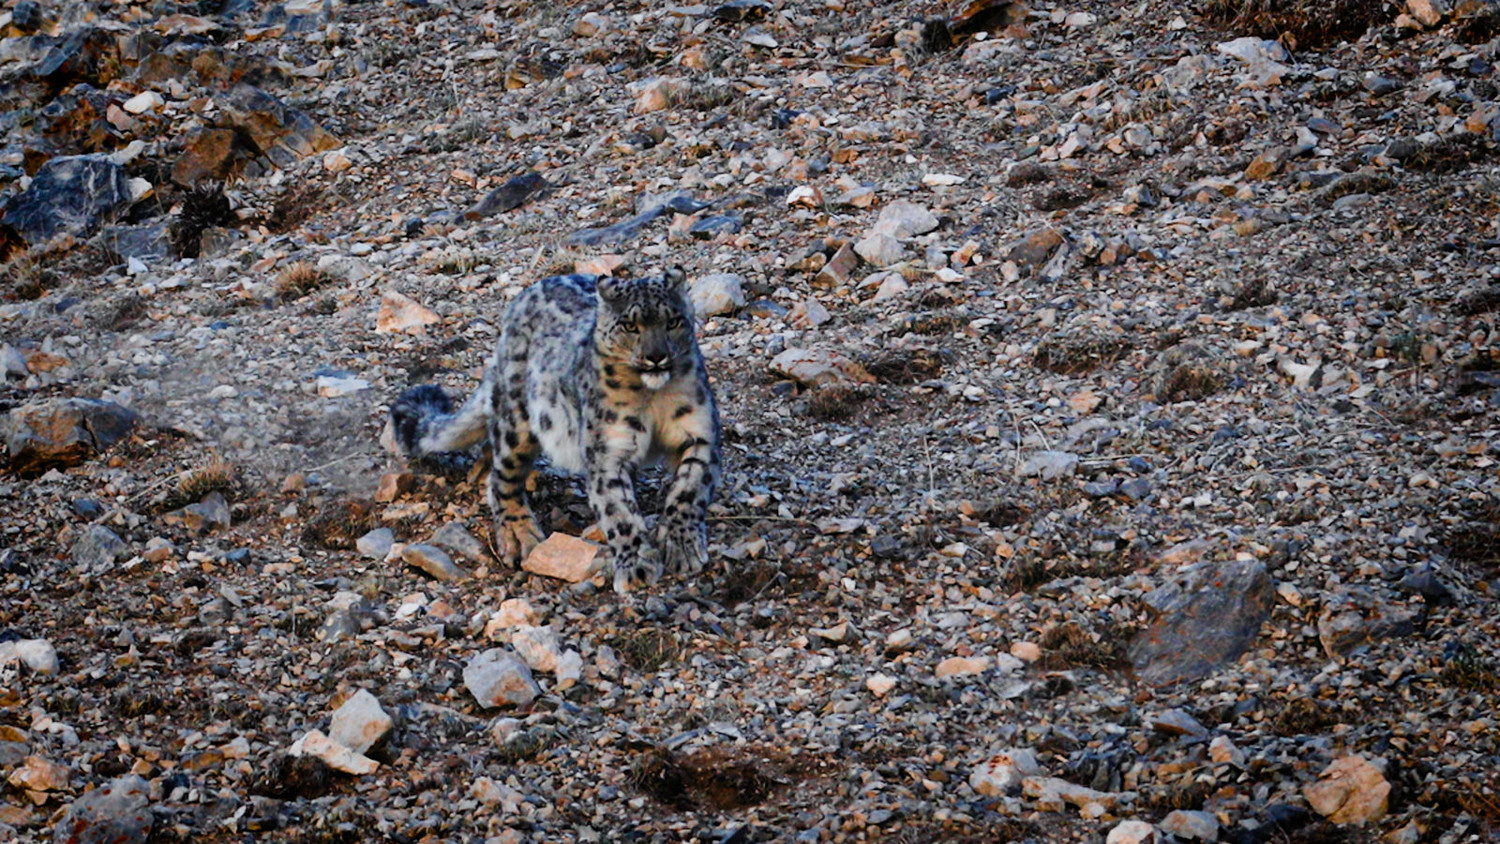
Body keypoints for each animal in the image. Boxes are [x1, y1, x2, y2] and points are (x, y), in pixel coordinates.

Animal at [390, 271, 723, 593]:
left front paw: (682, 545)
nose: (656, 356)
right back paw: (519, 536)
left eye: (673, 321)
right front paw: (636, 566)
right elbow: (619, 512)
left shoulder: (700, 433)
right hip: (519, 421)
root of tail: (519, 302)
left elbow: (689, 489)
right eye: (630, 325)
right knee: (502, 477)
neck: (652, 398)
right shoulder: (607, 452)